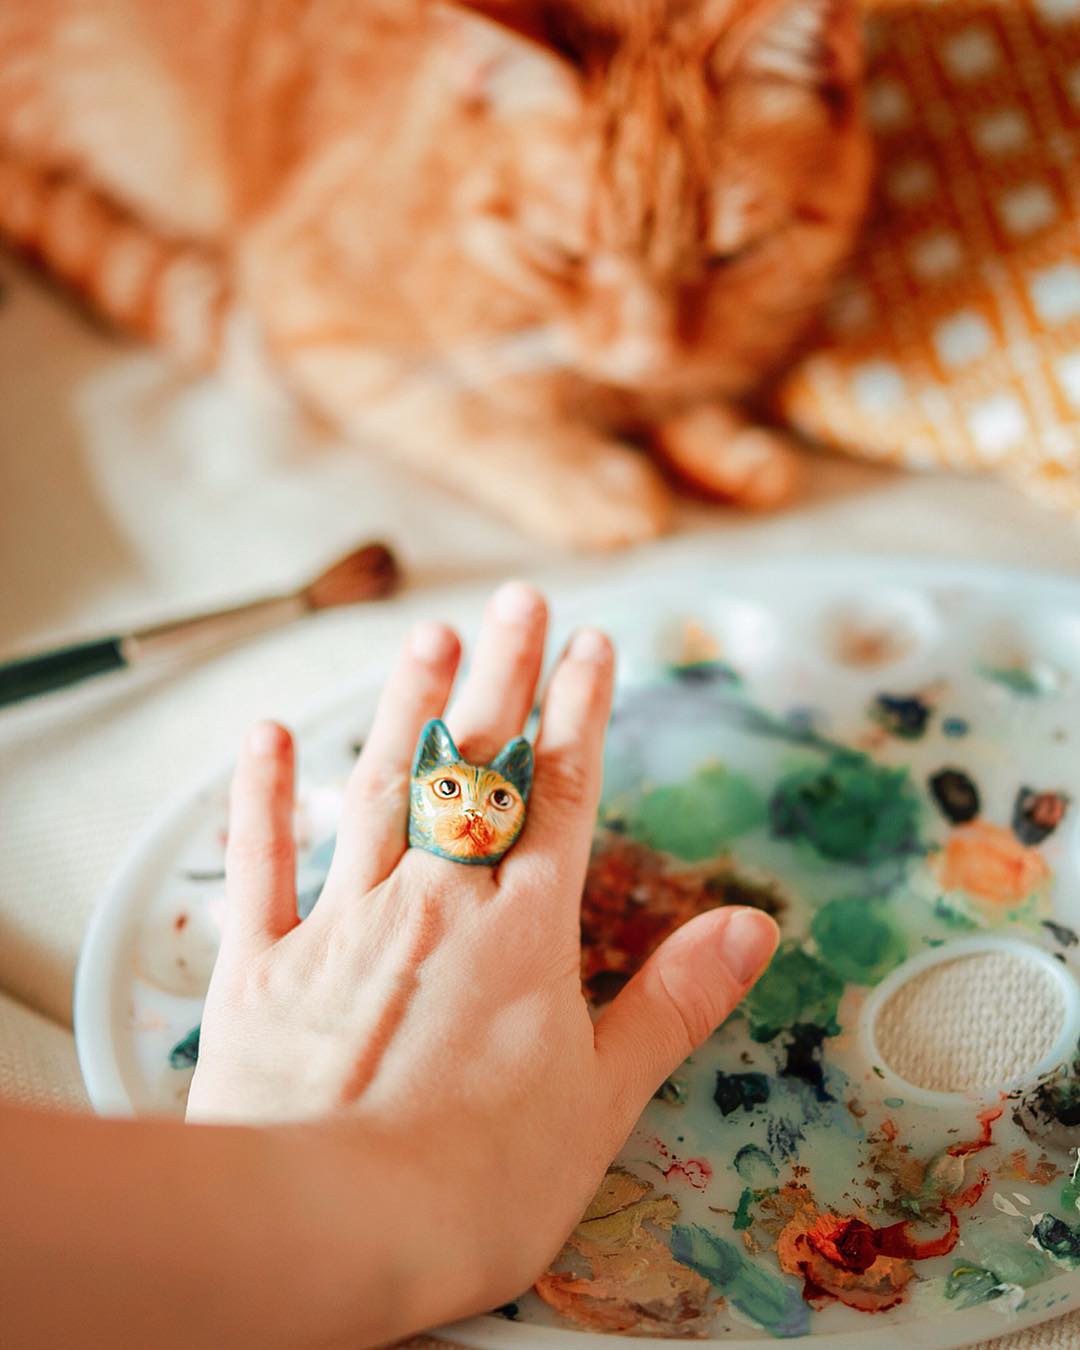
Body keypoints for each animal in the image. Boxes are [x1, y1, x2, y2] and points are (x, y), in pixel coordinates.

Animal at [0, 1, 869, 548]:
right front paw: (588, 477)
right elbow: (464, 407)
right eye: (561, 254)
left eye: (732, 256)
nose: (649, 353)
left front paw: (712, 438)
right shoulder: (308, 298)